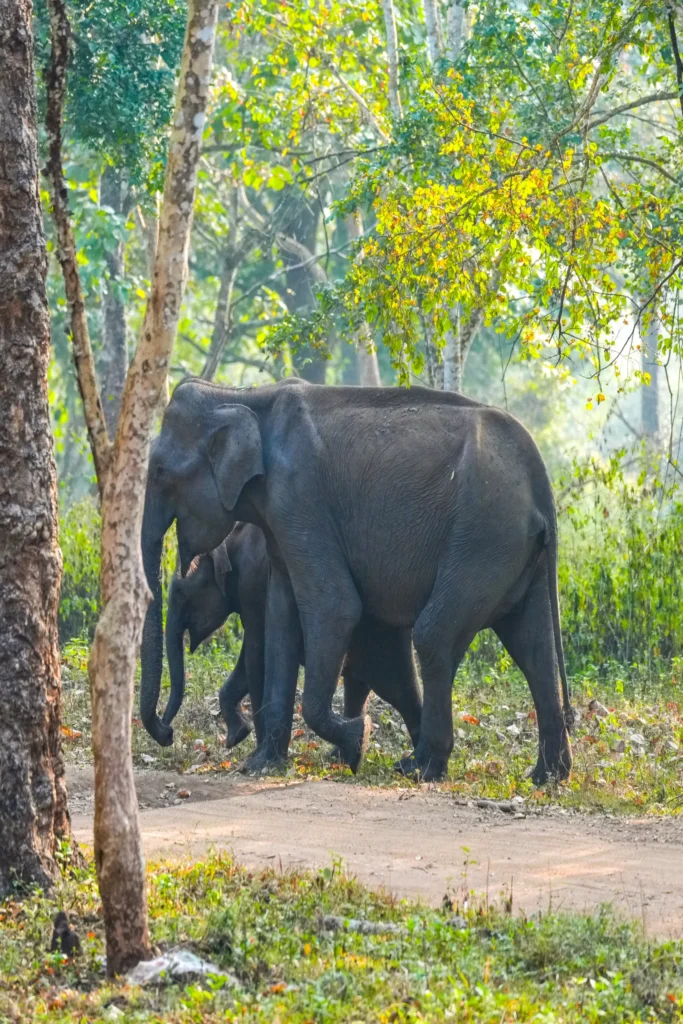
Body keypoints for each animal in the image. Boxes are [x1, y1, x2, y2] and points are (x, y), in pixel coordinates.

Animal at [140, 520, 423, 755]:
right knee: (376, 685)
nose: (168, 734)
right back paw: (343, 755)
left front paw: (254, 746)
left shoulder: (253, 585)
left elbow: (256, 655)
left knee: (393, 686)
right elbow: (249, 660)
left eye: (179, 593)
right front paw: (237, 737)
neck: (231, 539)